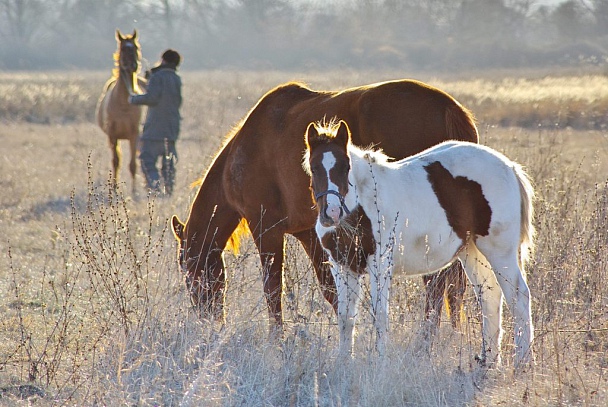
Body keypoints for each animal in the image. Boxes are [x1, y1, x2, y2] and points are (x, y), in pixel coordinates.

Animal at [97, 30, 147, 193]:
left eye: (136, 47)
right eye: (123, 48)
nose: (132, 66)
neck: (124, 102)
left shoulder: (134, 135)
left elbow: (132, 165)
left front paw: (134, 192)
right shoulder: (113, 135)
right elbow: (116, 162)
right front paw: (113, 189)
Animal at [169, 79, 478, 332]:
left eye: (189, 270)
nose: (208, 320)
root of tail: (447, 107)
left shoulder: (266, 230)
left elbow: (273, 290)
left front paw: (277, 341)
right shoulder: (309, 233)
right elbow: (330, 289)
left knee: (437, 284)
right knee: (454, 286)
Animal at [302, 118, 536, 370]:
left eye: (346, 167)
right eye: (314, 168)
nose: (332, 213)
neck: (360, 206)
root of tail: (510, 167)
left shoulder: (380, 265)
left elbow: (380, 314)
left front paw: (380, 362)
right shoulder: (342, 266)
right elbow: (345, 317)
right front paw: (344, 362)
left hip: (500, 252)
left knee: (519, 297)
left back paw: (523, 363)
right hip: (472, 253)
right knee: (489, 298)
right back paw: (489, 361)